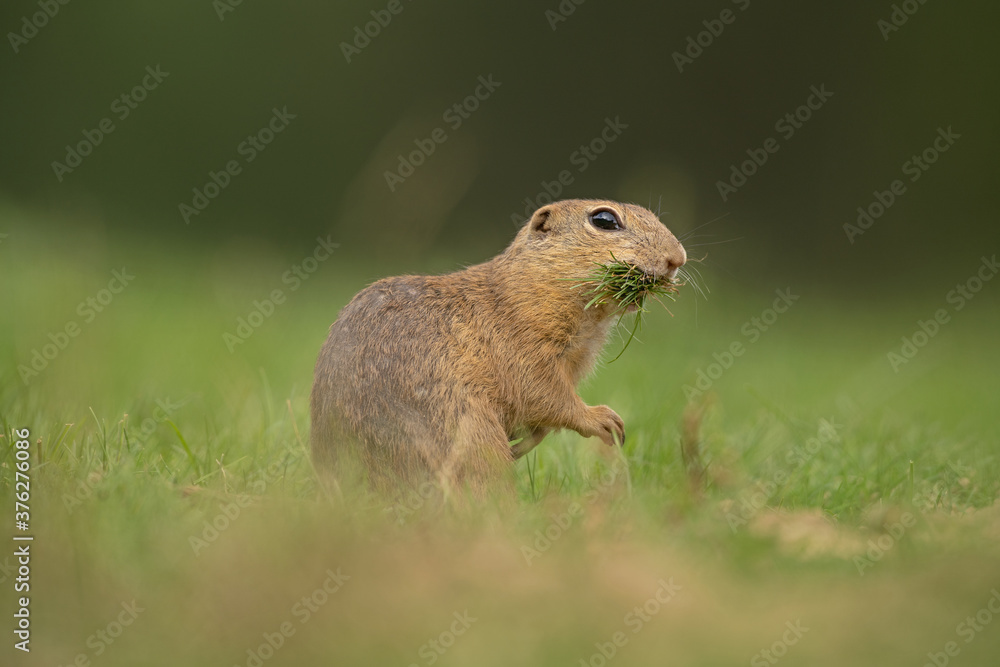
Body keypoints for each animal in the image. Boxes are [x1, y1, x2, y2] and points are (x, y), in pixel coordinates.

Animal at [312, 198, 688, 490]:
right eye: (604, 220)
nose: (678, 258)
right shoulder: (525, 347)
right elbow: (545, 394)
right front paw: (604, 420)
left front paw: (524, 443)